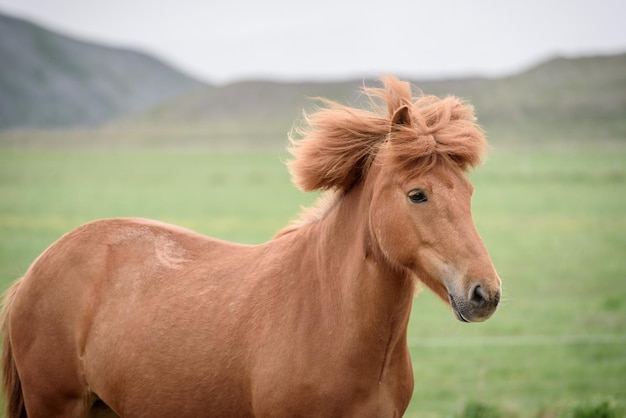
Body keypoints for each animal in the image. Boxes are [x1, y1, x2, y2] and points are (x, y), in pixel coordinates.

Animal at [0, 76, 498, 418]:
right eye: (418, 194)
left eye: (469, 193)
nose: (485, 294)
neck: (328, 315)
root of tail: (33, 273)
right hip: (57, 404)